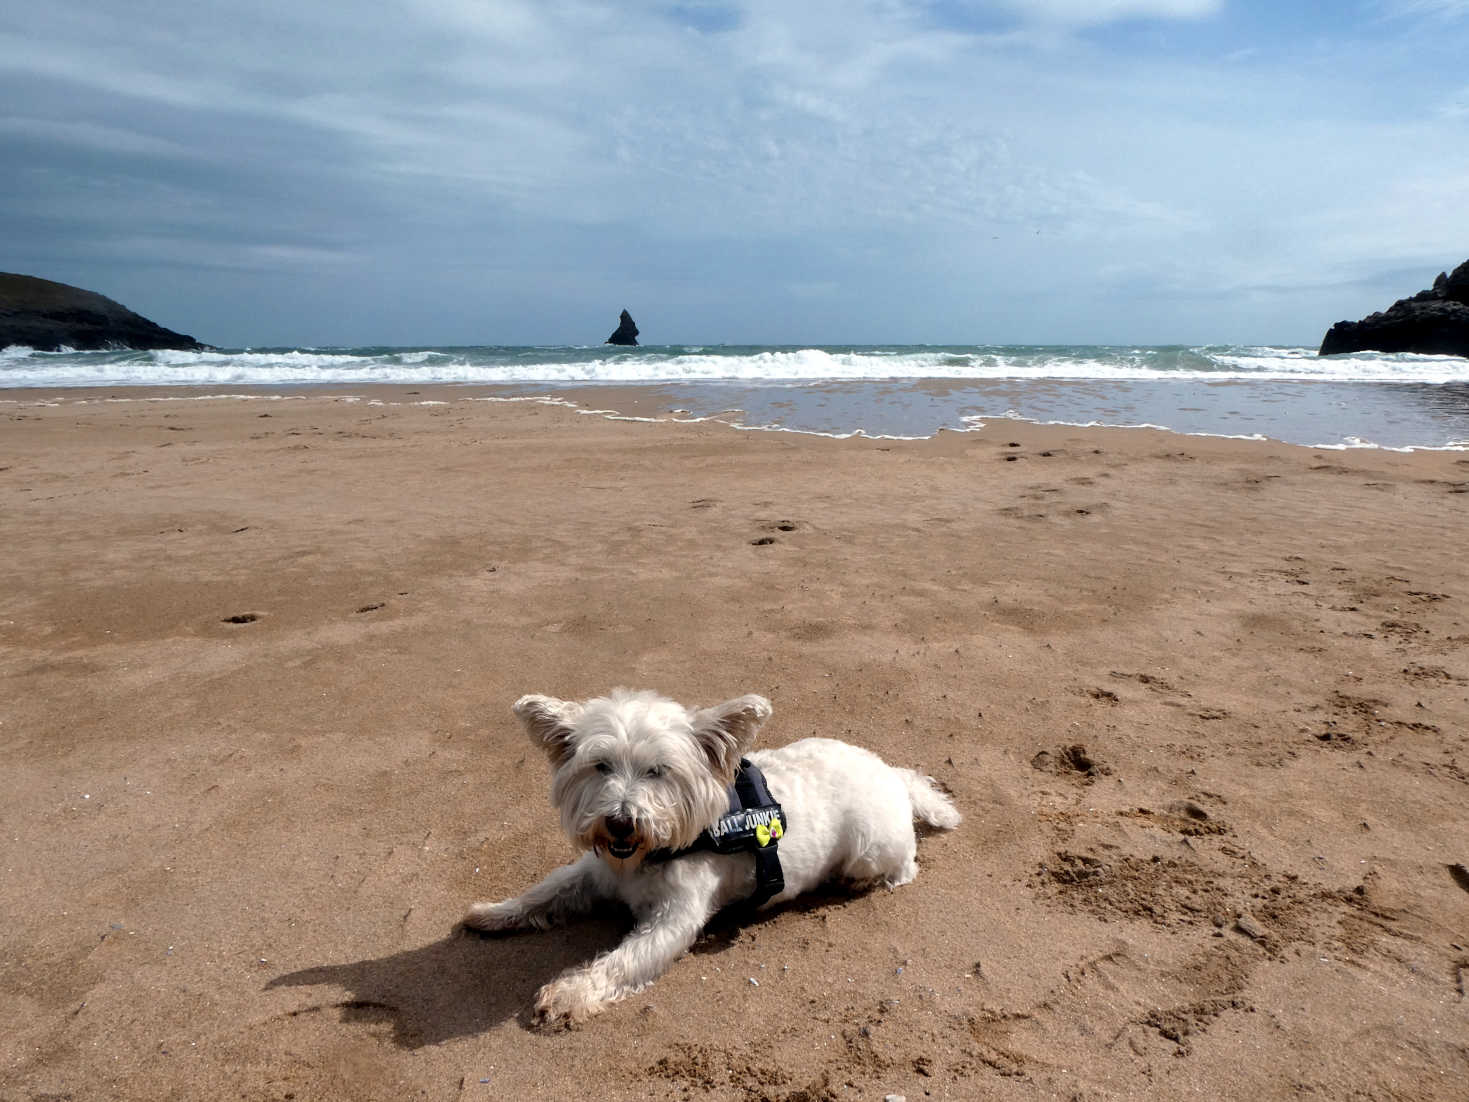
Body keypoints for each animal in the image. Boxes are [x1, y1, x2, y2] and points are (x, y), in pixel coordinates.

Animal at [464, 690, 957, 1028]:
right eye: (601, 766)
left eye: (658, 771)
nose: (621, 822)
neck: (648, 856)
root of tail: (892, 774)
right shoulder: (596, 871)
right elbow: (547, 890)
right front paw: (495, 912)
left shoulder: (673, 918)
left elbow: (621, 961)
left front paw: (570, 992)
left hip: (871, 848)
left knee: (905, 866)